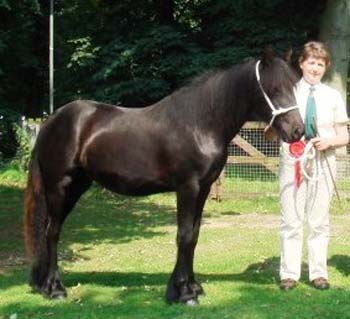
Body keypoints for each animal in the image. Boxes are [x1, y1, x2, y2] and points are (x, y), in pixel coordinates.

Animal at [23, 50, 304, 304]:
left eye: (294, 86)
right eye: (274, 88)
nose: (298, 131)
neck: (200, 123)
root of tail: (50, 121)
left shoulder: (203, 188)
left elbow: (194, 235)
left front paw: (191, 286)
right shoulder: (187, 187)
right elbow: (184, 236)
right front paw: (183, 293)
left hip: (77, 186)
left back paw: (43, 284)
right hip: (59, 187)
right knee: (52, 232)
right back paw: (55, 289)